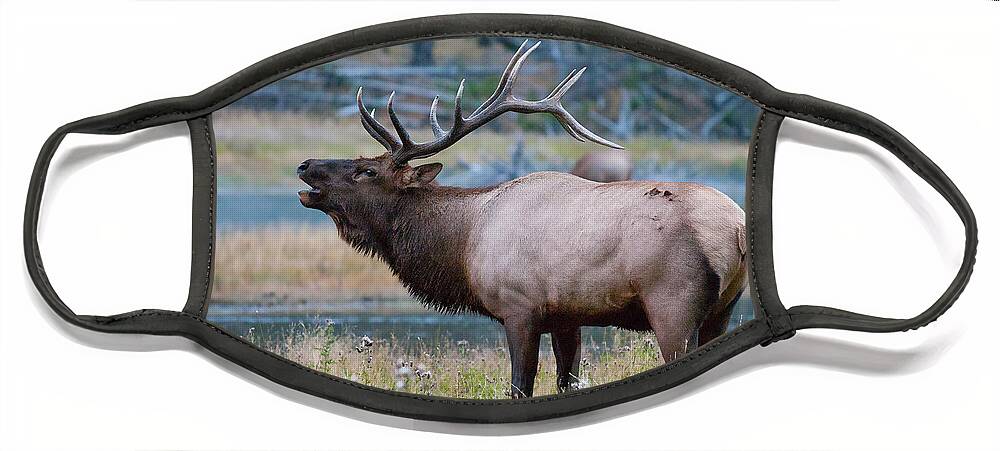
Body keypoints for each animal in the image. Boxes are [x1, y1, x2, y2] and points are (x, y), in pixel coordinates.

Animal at [296, 40, 744, 398]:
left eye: (367, 171)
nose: (305, 165)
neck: (463, 245)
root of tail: (737, 229)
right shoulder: (567, 318)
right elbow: (566, 381)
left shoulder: (519, 309)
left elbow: (520, 387)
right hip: (722, 311)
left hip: (673, 305)